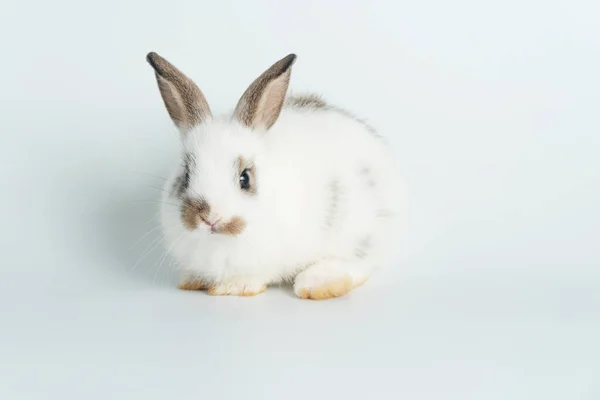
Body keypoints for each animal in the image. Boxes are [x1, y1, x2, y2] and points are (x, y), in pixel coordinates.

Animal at [145, 51, 400, 298]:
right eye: (186, 175)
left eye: (245, 179)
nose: (210, 218)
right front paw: (192, 281)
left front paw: (234, 288)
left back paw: (318, 284)